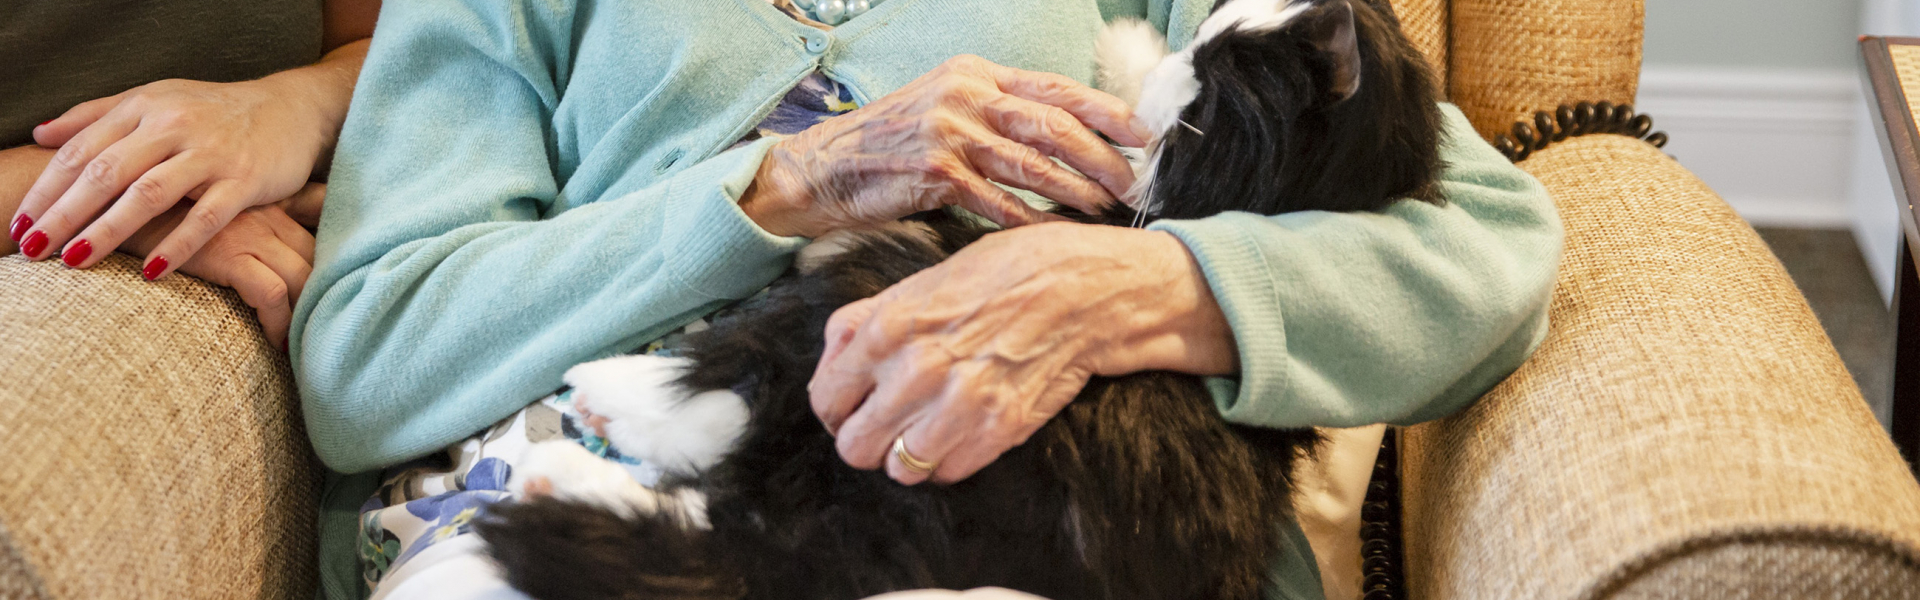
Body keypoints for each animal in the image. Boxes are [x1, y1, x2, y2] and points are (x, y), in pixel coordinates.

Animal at [476, 2, 1443, 596]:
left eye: (1211, 77)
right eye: (1201, 37)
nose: (1184, 50)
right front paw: (1133, 44)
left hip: (872, 295)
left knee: (740, 404)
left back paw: (581, 426)